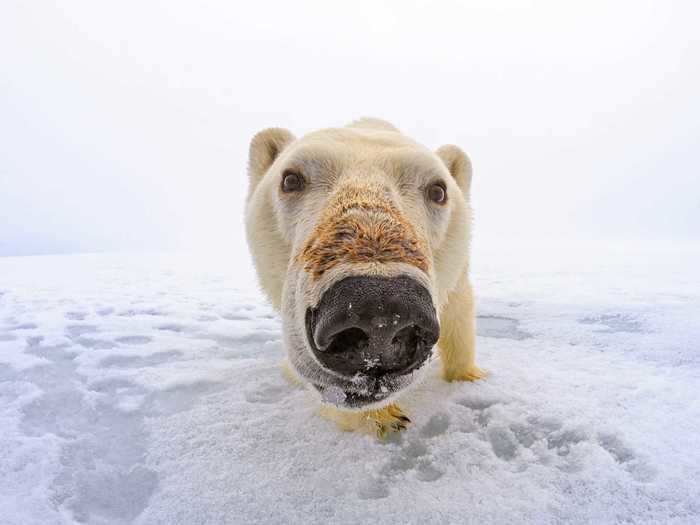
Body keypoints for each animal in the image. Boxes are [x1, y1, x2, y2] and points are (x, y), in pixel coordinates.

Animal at [243, 119, 484, 438]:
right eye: (290, 179)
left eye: (438, 190)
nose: (380, 315)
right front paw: (386, 419)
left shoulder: (458, 271)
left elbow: (458, 310)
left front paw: (469, 376)